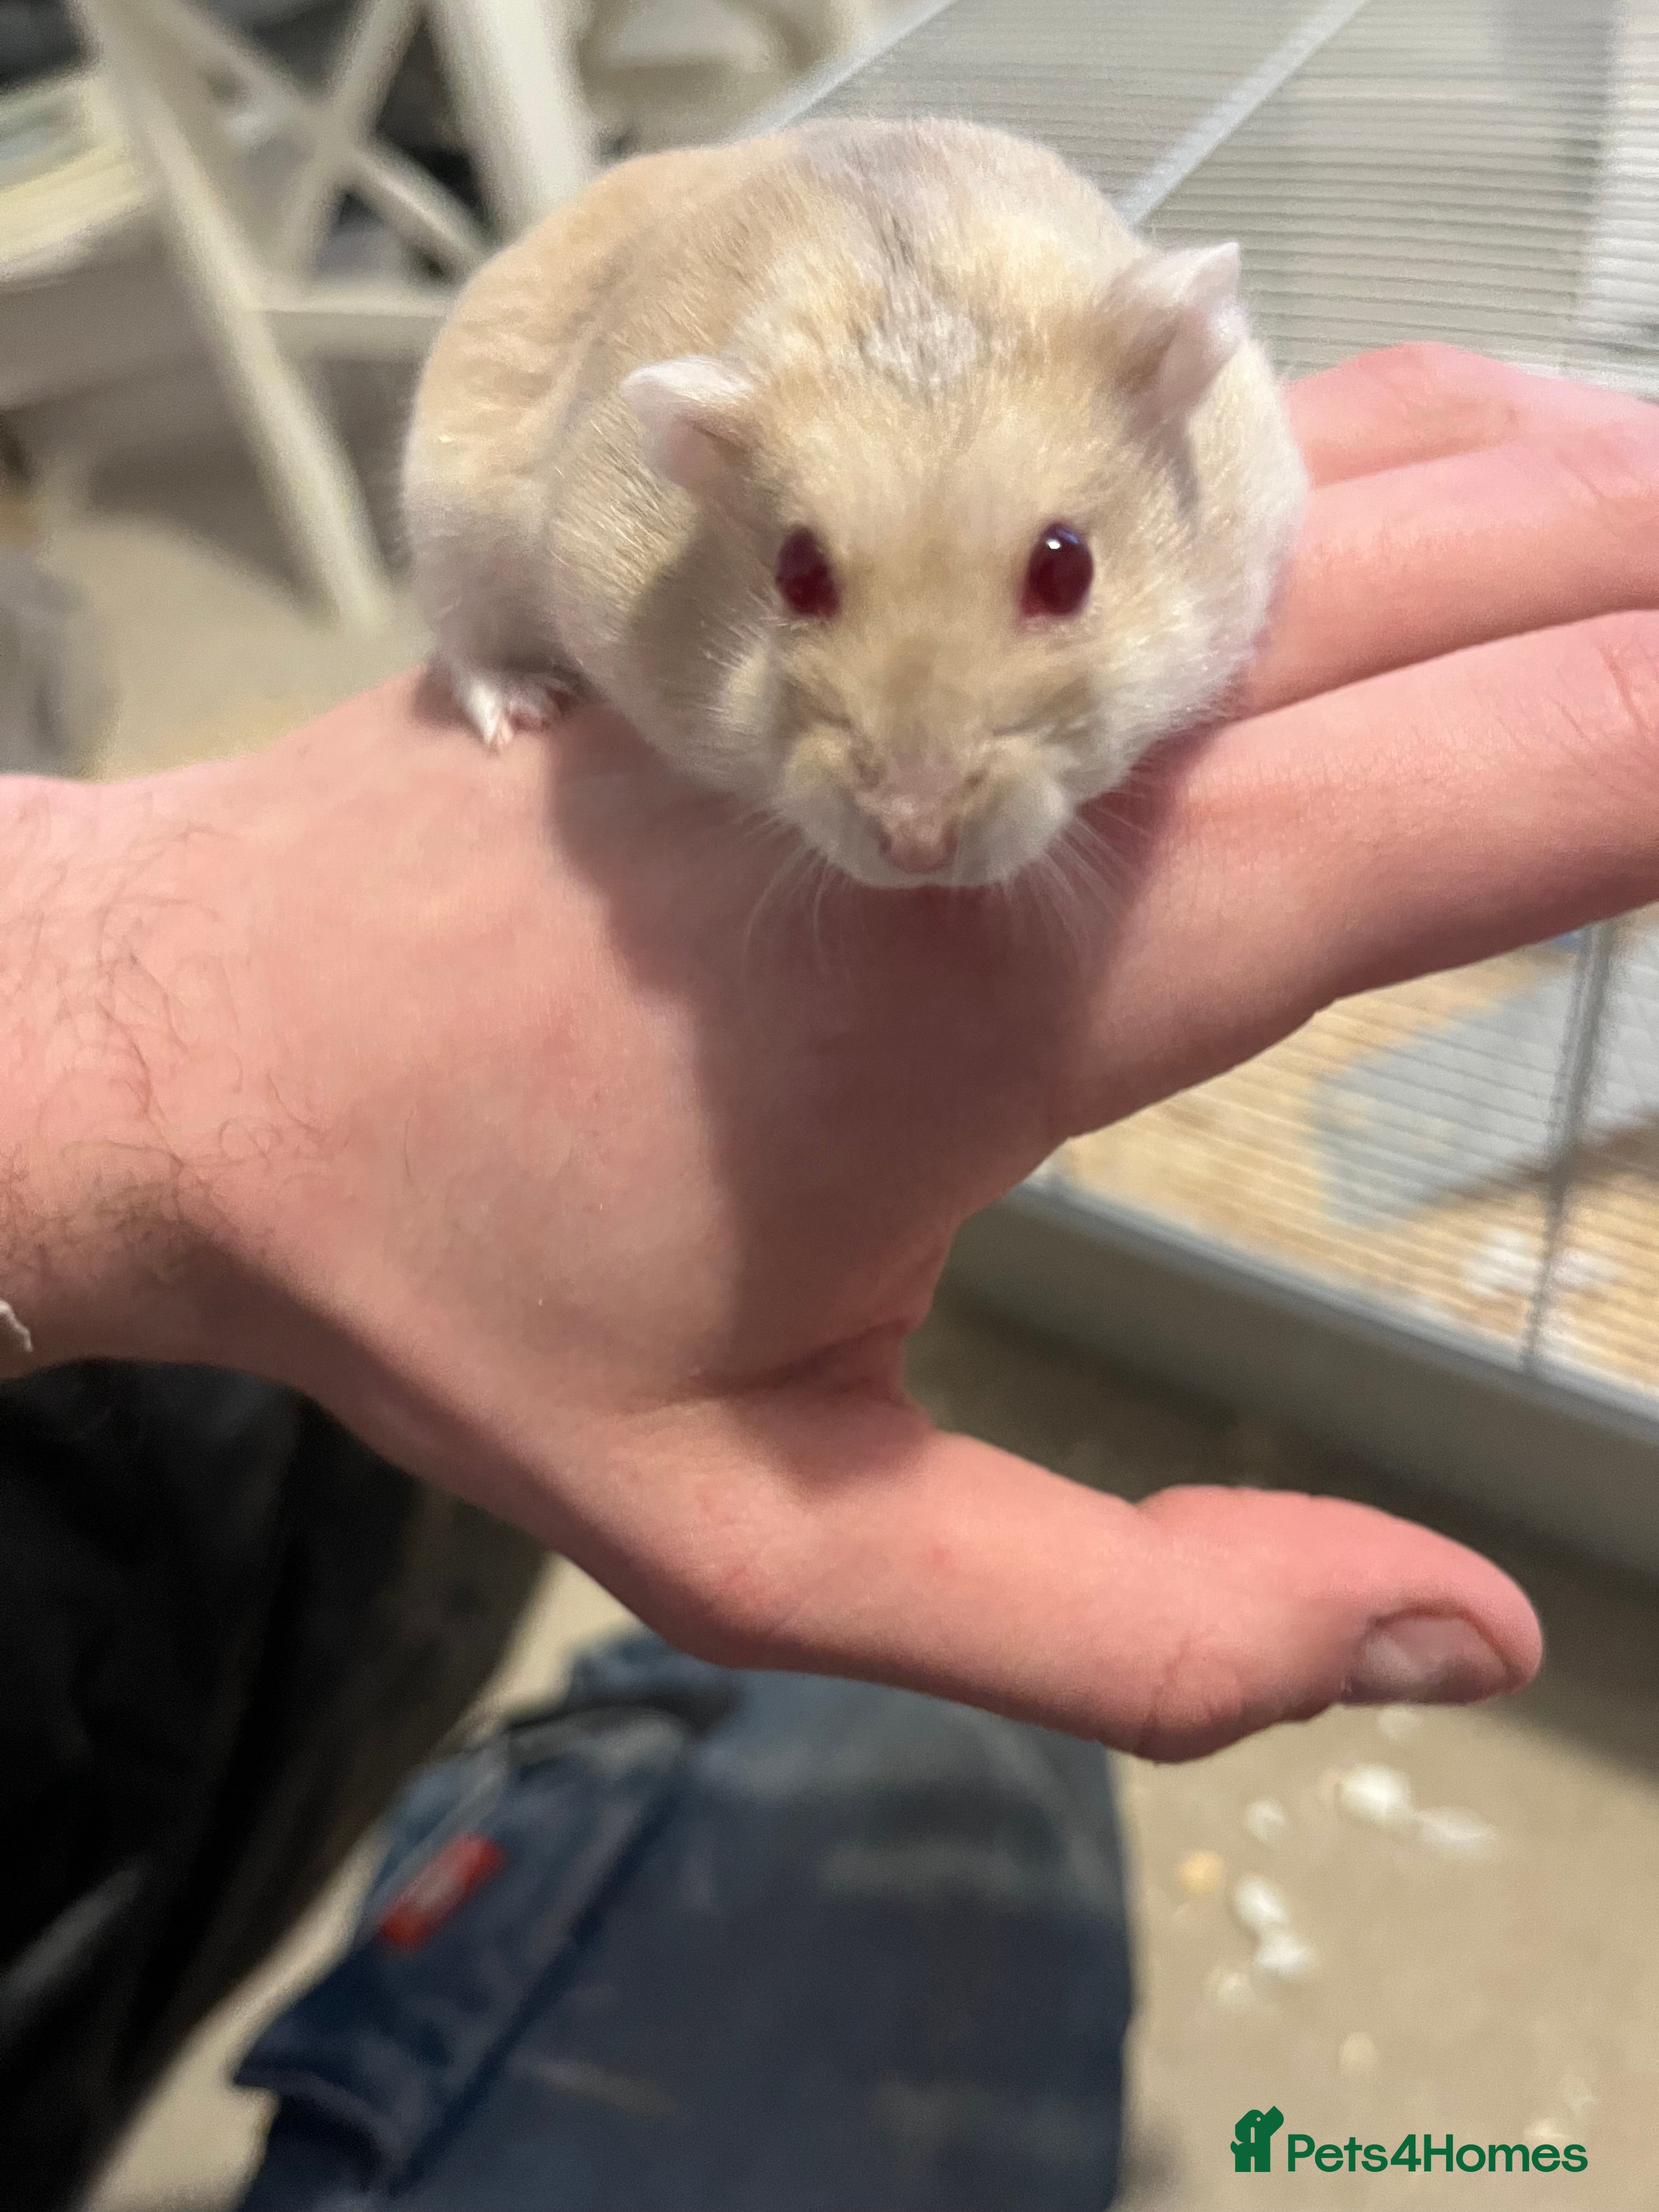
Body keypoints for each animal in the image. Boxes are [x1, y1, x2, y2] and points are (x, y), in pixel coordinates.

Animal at [403, 118, 1306, 889]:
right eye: (797, 575)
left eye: (1068, 568)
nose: (917, 846)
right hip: (448, 529)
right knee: (462, 647)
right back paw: (524, 712)